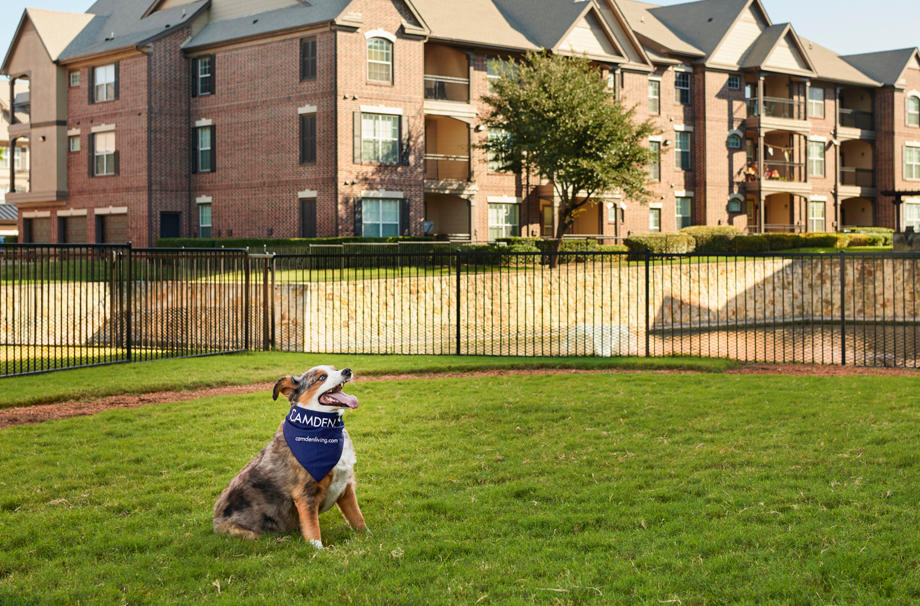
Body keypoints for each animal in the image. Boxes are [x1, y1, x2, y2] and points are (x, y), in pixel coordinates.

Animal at [212, 366, 366, 552]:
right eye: (321, 377)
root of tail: (215, 524)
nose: (347, 370)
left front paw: (369, 537)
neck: (320, 427)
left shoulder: (346, 487)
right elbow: (313, 529)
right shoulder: (305, 494)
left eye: (335, 369)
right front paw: (319, 552)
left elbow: (358, 518)